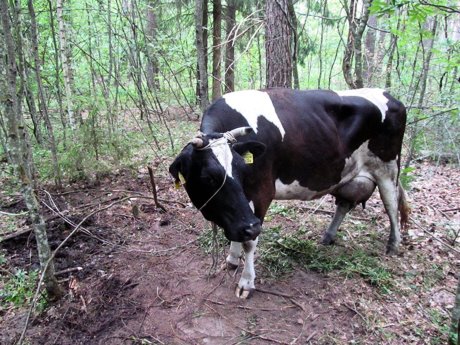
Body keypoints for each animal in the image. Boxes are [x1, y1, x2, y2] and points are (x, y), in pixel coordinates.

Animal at [169, 88, 410, 298]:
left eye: (242, 170)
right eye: (208, 177)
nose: (252, 226)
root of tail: (389, 95)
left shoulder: (261, 192)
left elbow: (250, 241)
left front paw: (246, 282)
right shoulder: (241, 207)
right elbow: (240, 231)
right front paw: (232, 259)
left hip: (388, 167)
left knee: (391, 203)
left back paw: (393, 244)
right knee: (344, 204)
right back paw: (328, 236)